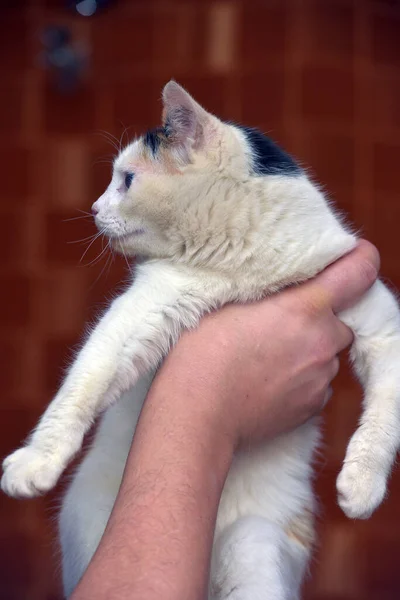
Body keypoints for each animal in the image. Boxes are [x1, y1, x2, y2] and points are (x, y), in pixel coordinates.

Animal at [2, 81, 400, 600]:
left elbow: (386, 415)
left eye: (126, 180)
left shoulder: (380, 320)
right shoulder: (147, 306)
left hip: (254, 543)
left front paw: (363, 485)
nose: (94, 209)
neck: (241, 265)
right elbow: (83, 382)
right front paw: (37, 461)